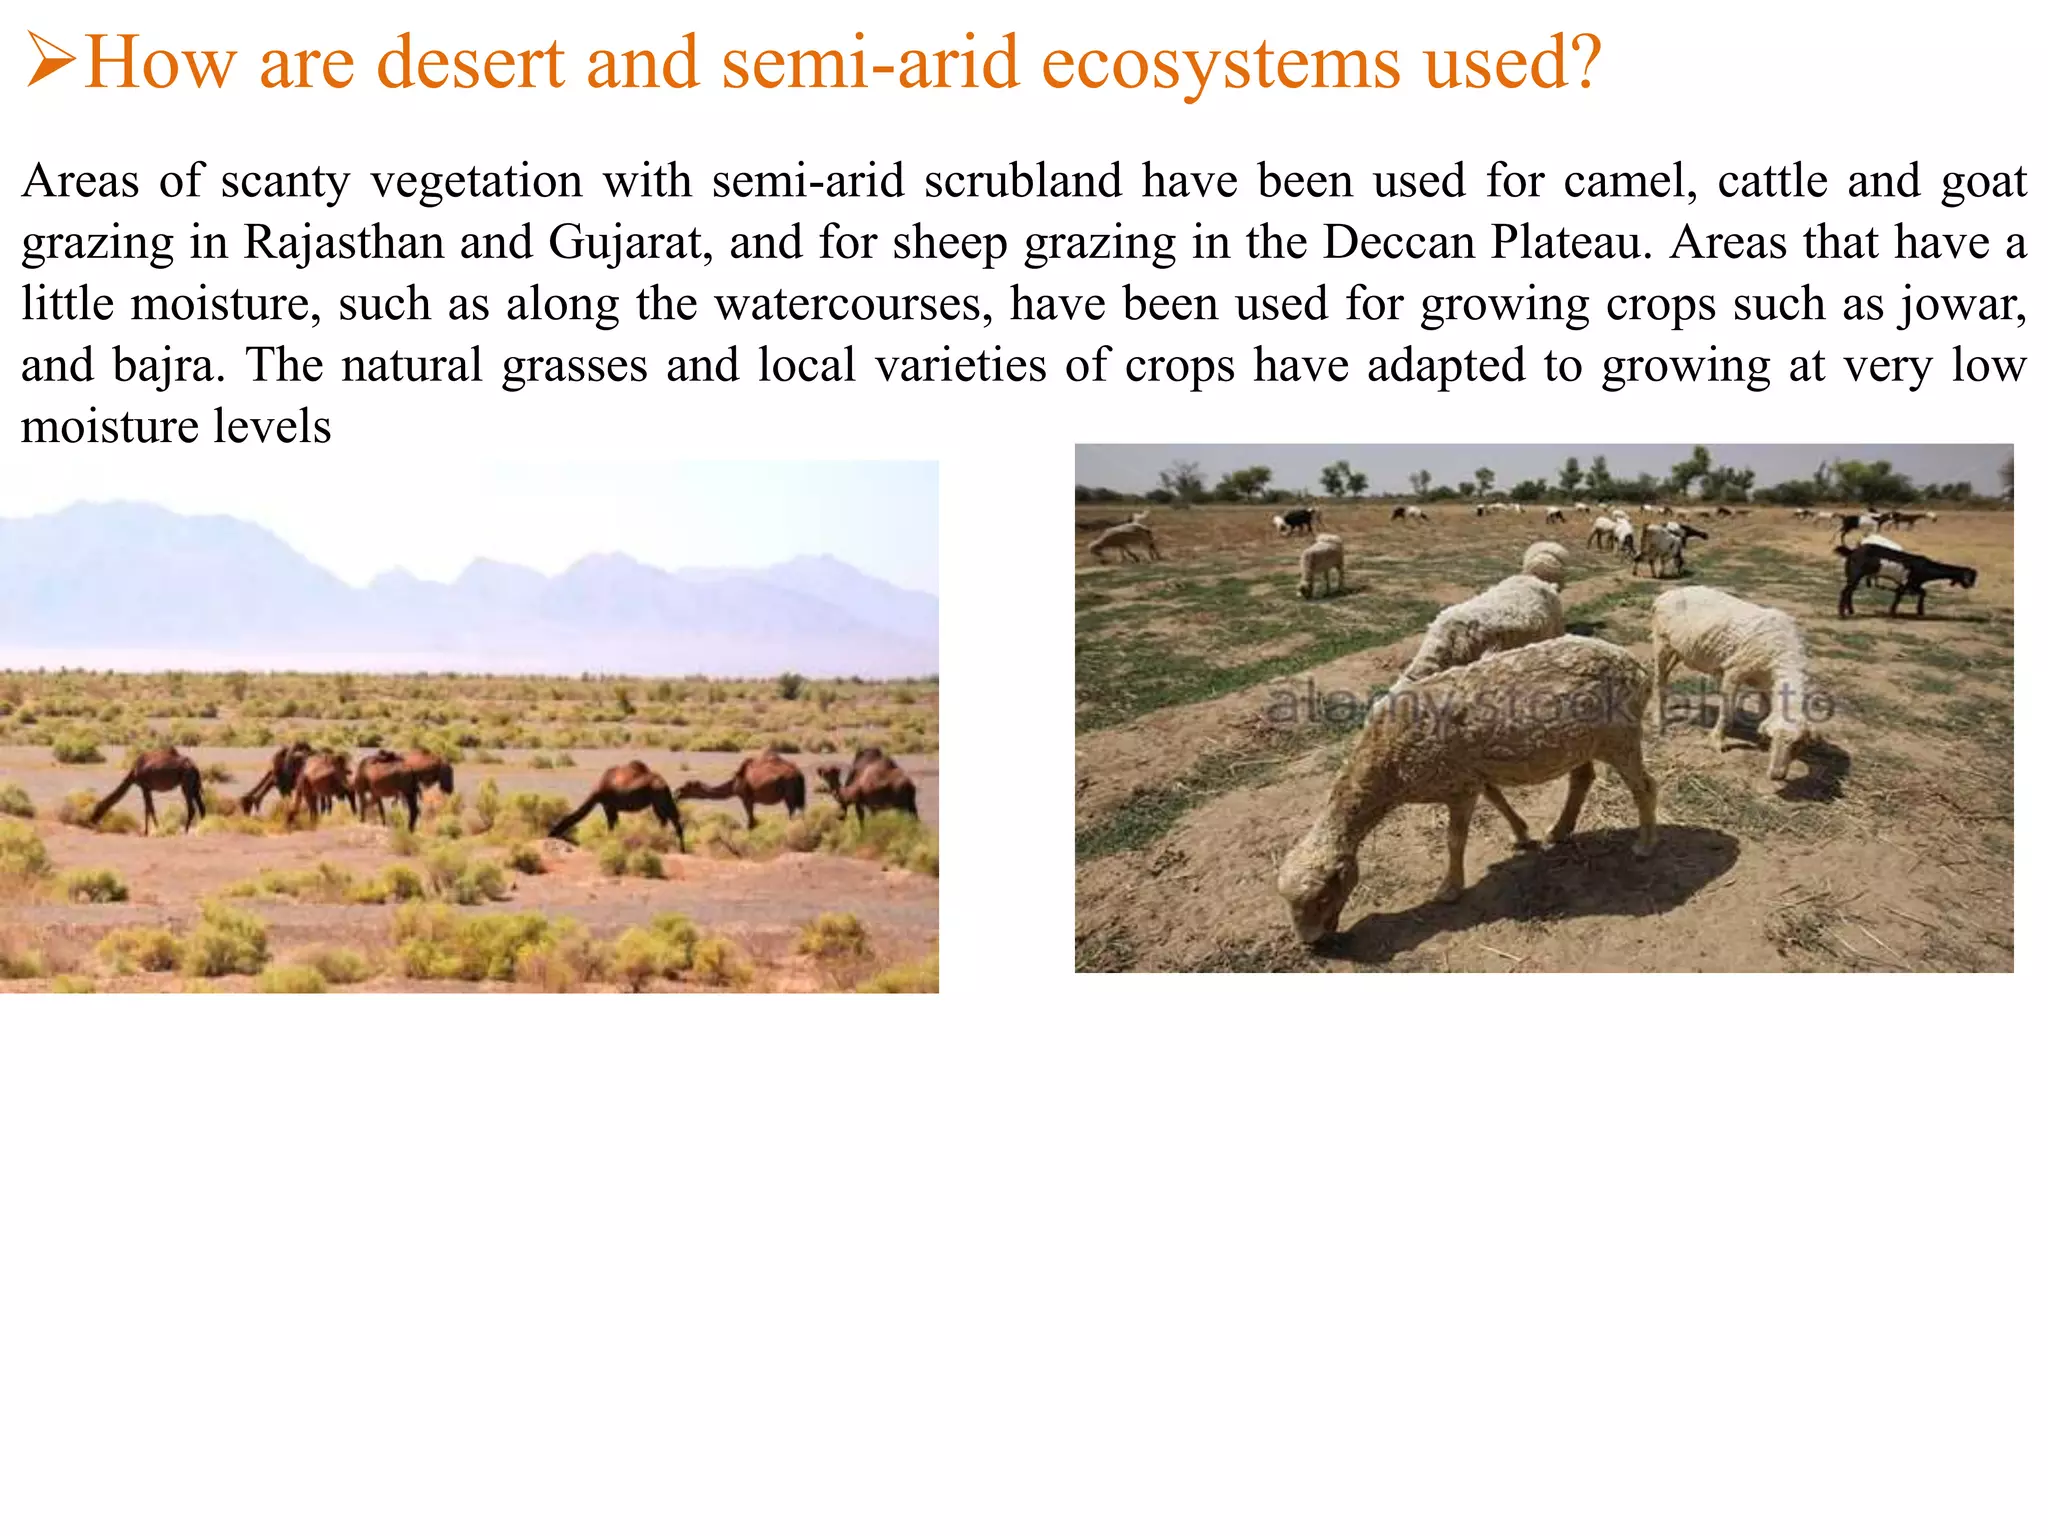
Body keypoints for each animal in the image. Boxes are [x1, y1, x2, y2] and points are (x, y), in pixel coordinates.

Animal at [1277, 636, 1659, 941]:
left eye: (1323, 897)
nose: (1310, 943)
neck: (1387, 763)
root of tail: (1635, 664)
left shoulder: (1458, 786)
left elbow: (1455, 840)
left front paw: (1449, 888)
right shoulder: (1470, 774)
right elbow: (1497, 798)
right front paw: (1522, 834)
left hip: (1620, 736)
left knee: (1645, 787)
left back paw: (1644, 845)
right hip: (1582, 742)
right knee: (1581, 779)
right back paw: (1560, 830)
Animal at [1650, 586, 1814, 781]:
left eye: (1796, 744)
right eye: (1774, 739)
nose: (1777, 776)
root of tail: (1666, 594)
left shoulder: (1765, 683)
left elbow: (1765, 710)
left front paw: (1760, 737)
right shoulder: (1734, 671)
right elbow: (1726, 712)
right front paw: (1716, 742)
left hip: (1680, 650)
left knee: (1666, 676)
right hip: (1662, 642)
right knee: (1659, 679)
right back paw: (1658, 719)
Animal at [1835, 543, 1977, 617]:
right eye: (1970, 577)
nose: (1970, 586)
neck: (1925, 567)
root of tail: (1852, 551)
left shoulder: (1912, 584)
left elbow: (1922, 592)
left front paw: (1920, 611)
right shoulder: (1908, 583)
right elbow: (1900, 596)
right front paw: (1893, 613)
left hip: (1854, 576)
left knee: (1850, 592)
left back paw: (1851, 611)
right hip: (1855, 574)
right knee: (1845, 591)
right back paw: (1842, 614)